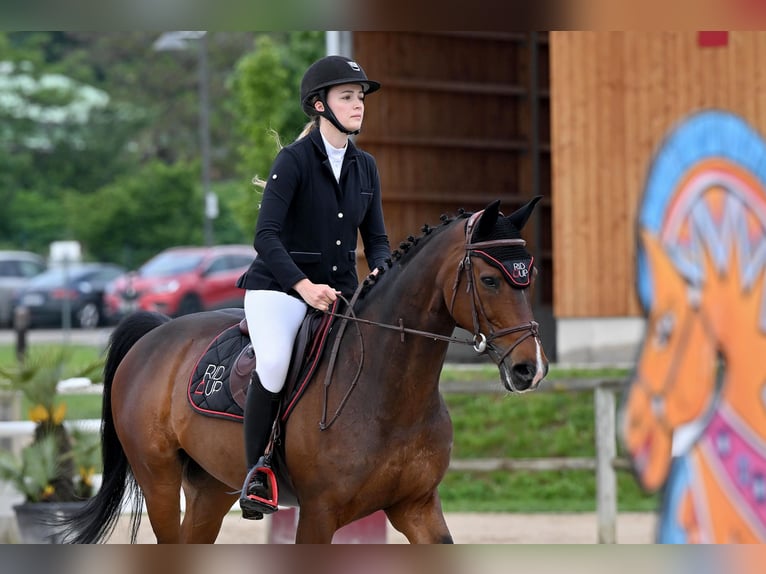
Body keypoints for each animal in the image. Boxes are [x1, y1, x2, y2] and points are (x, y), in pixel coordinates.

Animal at [63, 198, 548, 544]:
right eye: (489, 280)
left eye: (530, 276)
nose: (531, 369)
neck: (391, 391)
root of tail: (156, 334)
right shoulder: (319, 514)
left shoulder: (418, 506)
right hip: (159, 481)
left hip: (209, 488)